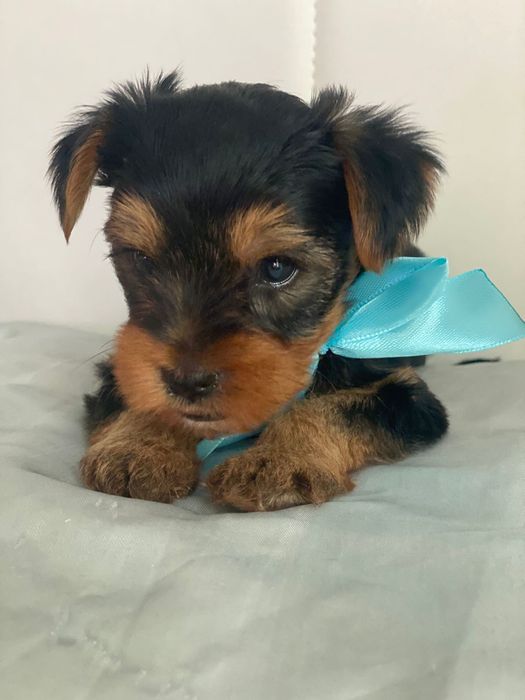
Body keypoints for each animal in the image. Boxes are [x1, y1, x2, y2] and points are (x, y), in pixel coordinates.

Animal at [49, 71, 448, 511]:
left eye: (277, 268)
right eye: (141, 259)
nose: (186, 382)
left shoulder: (405, 394)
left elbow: (338, 407)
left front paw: (277, 462)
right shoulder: (125, 363)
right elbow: (138, 390)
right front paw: (138, 448)